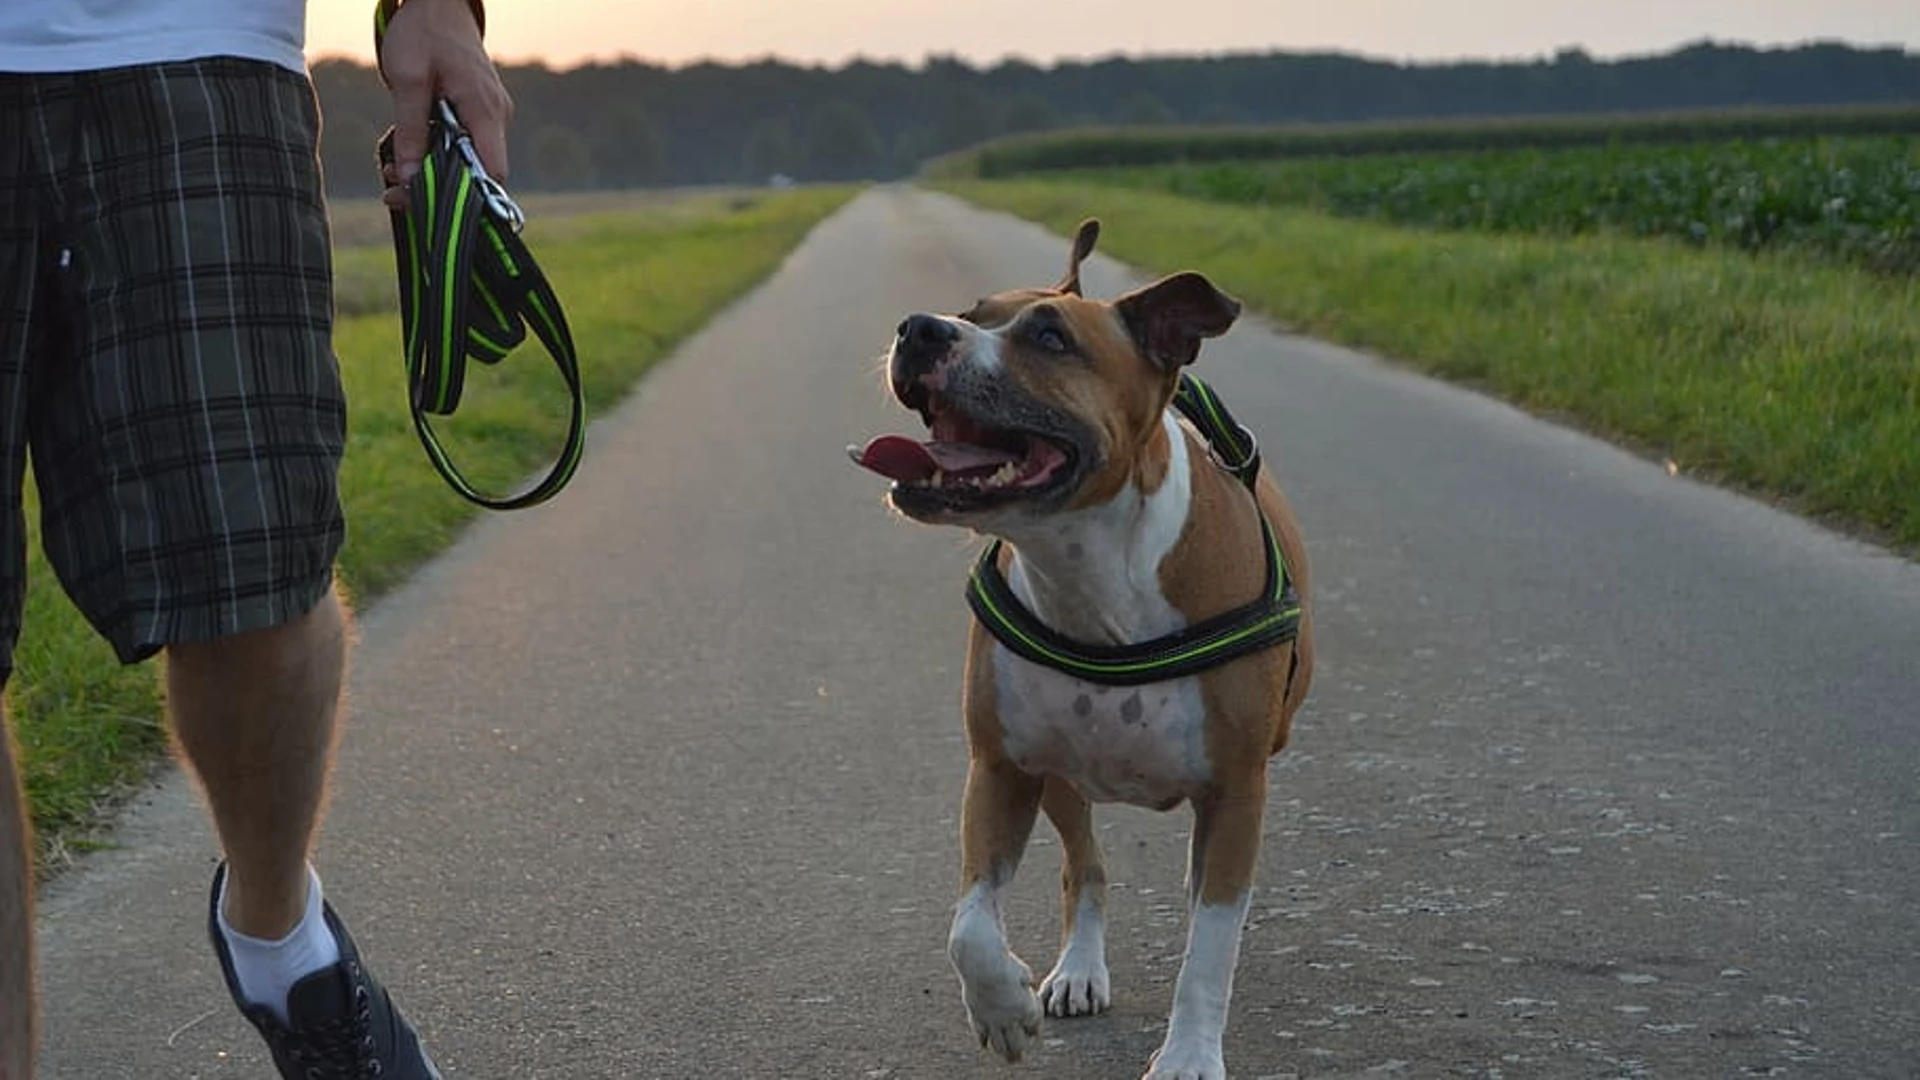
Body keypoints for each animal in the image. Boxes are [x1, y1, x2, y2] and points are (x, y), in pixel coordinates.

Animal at [852, 220, 1313, 1076]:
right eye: (971, 312)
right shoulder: (1001, 768)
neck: (1089, 572)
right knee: (1085, 867)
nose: (920, 328)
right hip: (1064, 779)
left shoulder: (1235, 794)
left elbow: (1211, 947)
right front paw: (1003, 1008)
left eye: (1049, 337)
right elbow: (969, 925)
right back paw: (1077, 970)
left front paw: (1189, 1055)